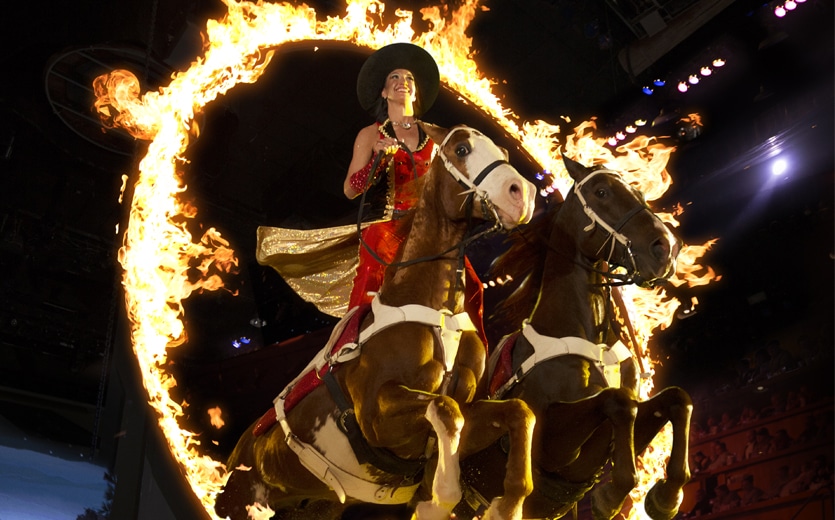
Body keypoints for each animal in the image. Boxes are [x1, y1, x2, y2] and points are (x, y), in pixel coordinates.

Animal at [214, 125, 536, 520]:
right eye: (462, 149)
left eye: (503, 152)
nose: (523, 194)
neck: (436, 310)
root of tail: (236, 454)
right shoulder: (375, 416)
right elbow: (445, 410)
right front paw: (438, 497)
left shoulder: (463, 415)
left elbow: (518, 412)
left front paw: (507, 504)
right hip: (240, 502)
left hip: (316, 508)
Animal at [458, 155, 692, 520]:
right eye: (601, 192)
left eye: (638, 191)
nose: (666, 248)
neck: (587, 339)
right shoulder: (550, 446)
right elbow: (618, 402)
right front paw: (612, 495)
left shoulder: (587, 461)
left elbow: (677, 399)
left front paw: (666, 497)